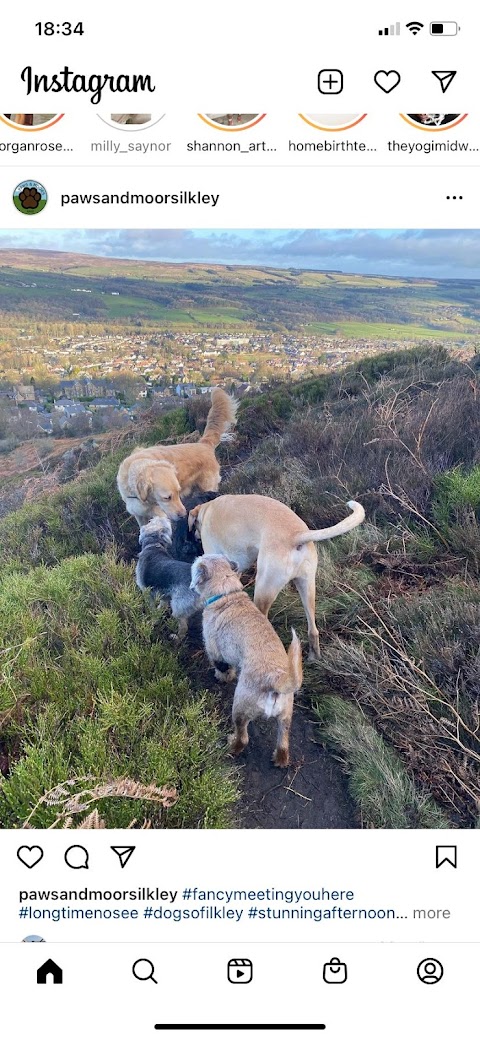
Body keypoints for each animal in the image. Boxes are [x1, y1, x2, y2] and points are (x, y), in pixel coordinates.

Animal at [116, 388, 235, 527]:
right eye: (167, 498)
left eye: (178, 493)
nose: (183, 515)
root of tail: (204, 444)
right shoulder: (139, 515)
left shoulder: (161, 515)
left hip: (208, 487)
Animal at [187, 494, 363, 656]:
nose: (194, 537)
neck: (208, 509)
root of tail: (296, 535)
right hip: (307, 588)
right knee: (313, 630)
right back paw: (314, 656)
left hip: (263, 590)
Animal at [190, 556, 299, 768]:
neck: (226, 594)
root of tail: (276, 681)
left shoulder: (215, 651)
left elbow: (222, 668)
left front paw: (222, 677)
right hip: (285, 718)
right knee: (283, 744)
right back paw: (279, 759)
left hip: (240, 708)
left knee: (243, 738)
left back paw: (231, 745)